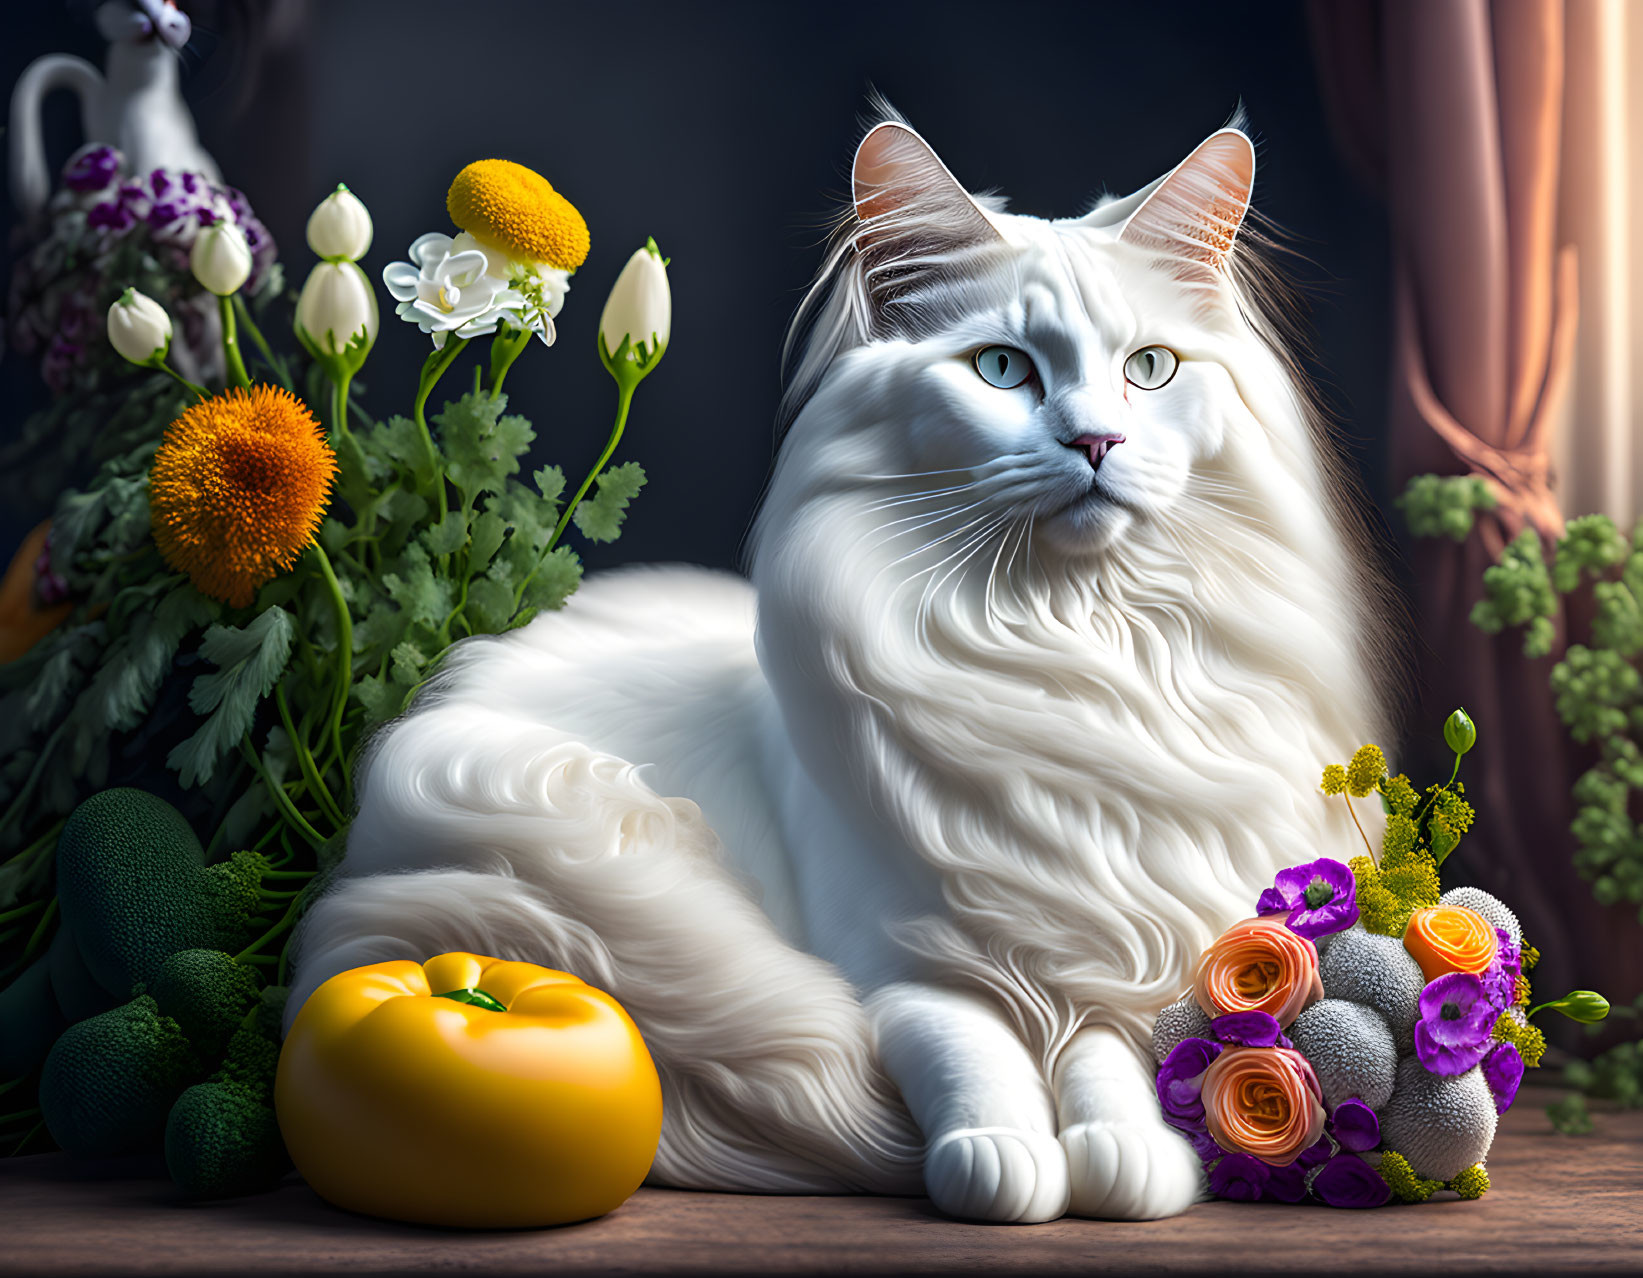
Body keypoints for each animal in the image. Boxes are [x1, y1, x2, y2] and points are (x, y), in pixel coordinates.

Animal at [292, 106, 1386, 1215]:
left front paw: (1123, 1157)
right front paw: (1003, 1159)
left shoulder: (1139, 955)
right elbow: (976, 1051)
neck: (1069, 652)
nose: (1096, 441)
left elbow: (1107, 1057)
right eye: (1001, 369)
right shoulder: (902, 971)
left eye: (1150, 368)